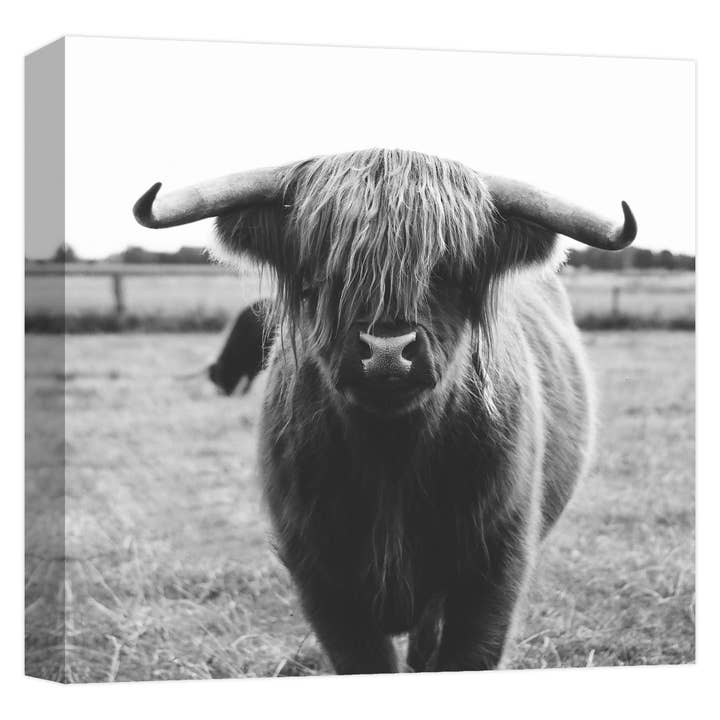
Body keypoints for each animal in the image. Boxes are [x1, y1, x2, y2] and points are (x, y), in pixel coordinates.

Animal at [134, 149, 636, 673]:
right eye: (323, 270)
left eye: (449, 269)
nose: (388, 351)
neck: (391, 456)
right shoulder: (320, 576)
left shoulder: (495, 568)